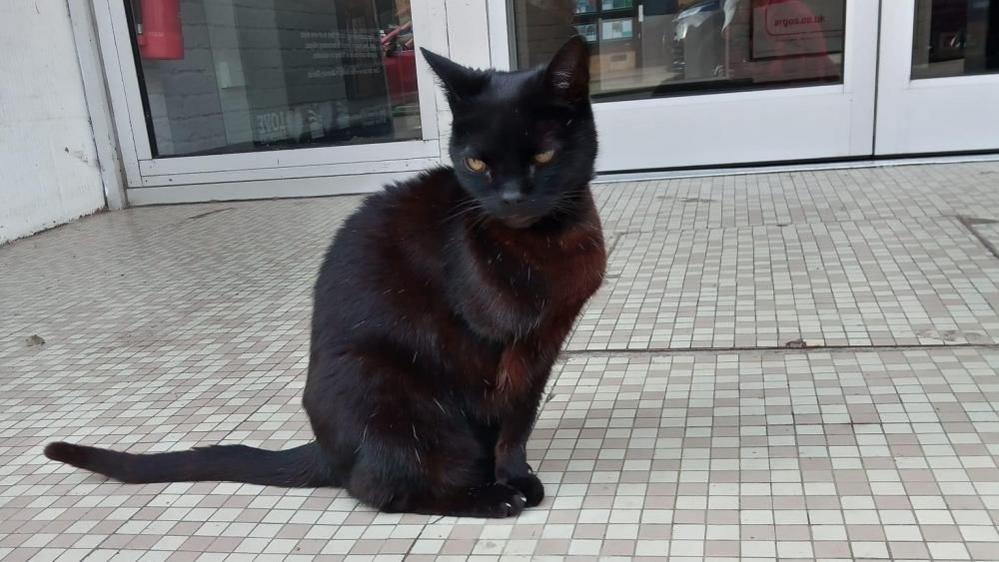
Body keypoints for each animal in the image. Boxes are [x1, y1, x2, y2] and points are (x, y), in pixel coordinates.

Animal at [43, 36, 604, 516]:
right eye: (477, 163)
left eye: (543, 156)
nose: (510, 199)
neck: (548, 244)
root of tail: (327, 450)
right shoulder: (495, 350)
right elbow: (501, 421)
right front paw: (505, 486)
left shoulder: (541, 349)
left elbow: (516, 426)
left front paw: (516, 474)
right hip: (388, 389)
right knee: (381, 487)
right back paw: (484, 498)